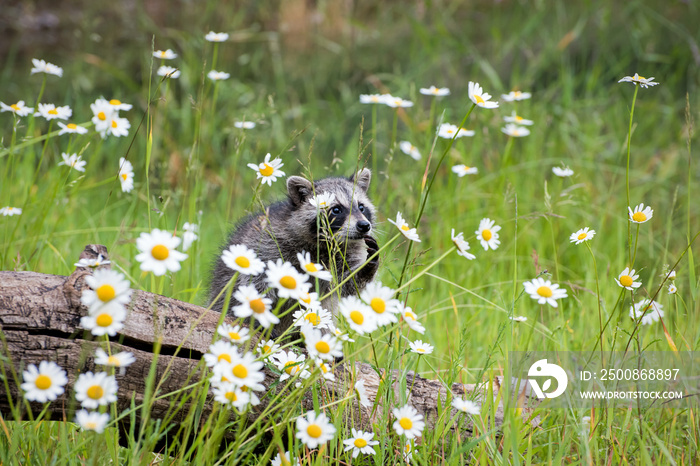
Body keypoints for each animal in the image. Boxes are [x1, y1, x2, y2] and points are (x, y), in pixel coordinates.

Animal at [209, 169, 378, 336]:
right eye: (336, 209)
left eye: (361, 207)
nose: (364, 225)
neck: (325, 243)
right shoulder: (269, 243)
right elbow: (258, 280)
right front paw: (260, 314)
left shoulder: (345, 254)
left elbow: (346, 282)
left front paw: (368, 266)